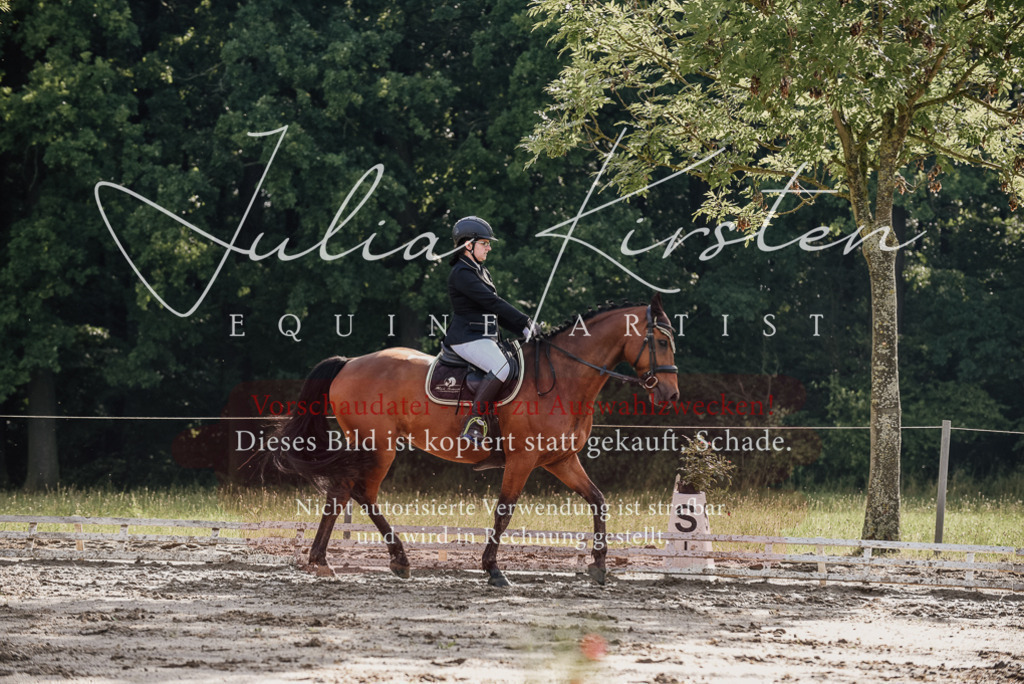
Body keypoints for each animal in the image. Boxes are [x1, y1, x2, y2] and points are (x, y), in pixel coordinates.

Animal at [262, 293, 680, 586]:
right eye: (661, 341)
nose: (671, 395)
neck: (563, 377)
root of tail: (349, 362)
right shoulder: (522, 460)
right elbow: (504, 511)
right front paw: (493, 570)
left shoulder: (561, 460)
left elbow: (598, 500)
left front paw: (599, 566)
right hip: (378, 445)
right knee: (357, 492)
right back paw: (382, 559)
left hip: (371, 445)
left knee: (344, 493)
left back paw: (335, 561)